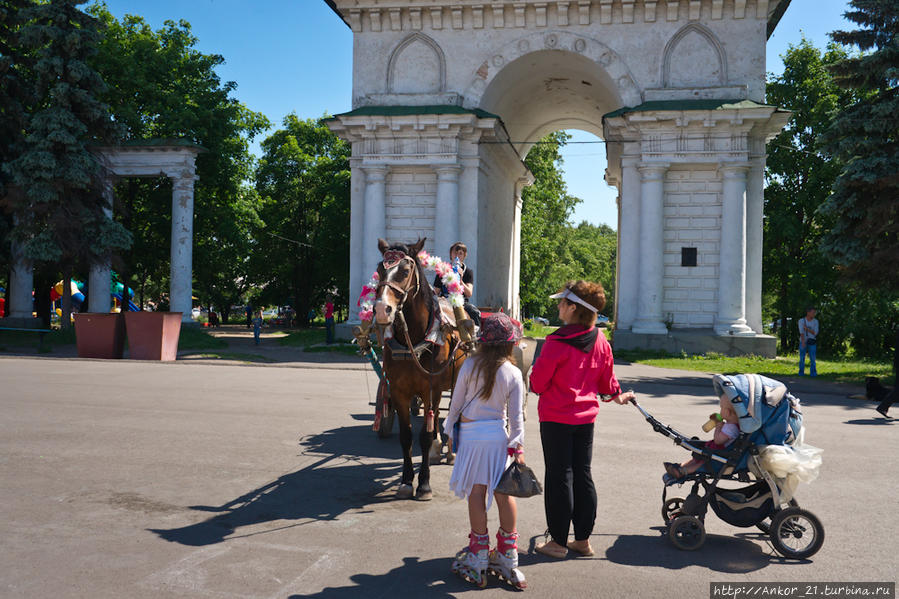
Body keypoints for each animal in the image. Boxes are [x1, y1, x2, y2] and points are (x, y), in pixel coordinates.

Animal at [374, 237, 468, 500]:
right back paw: (439, 449)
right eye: (380, 268)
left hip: (454, 383)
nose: (381, 309)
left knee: (450, 415)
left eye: (405, 271)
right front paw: (406, 481)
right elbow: (407, 437)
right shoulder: (399, 392)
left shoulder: (431, 390)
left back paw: (450, 452)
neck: (414, 342)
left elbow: (424, 437)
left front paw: (424, 484)